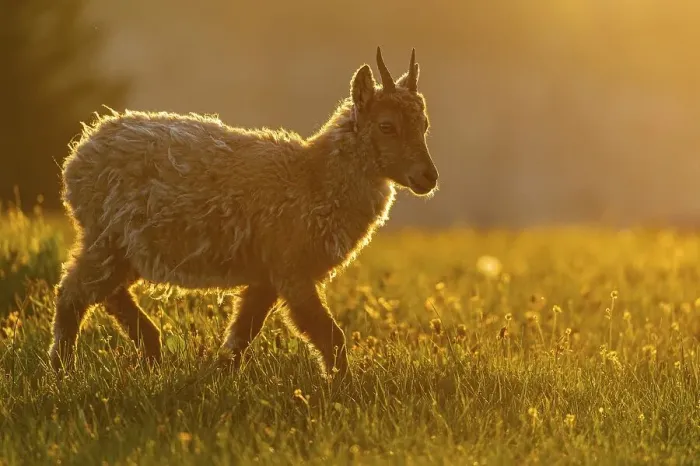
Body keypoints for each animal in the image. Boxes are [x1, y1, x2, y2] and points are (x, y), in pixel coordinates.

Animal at [49, 47, 439, 379]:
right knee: (73, 292)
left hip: (124, 250)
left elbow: (243, 331)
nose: (427, 177)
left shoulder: (266, 276)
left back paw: (151, 351)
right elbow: (330, 335)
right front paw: (343, 389)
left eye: (424, 125)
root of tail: (79, 156)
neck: (313, 178)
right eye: (387, 126)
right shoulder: (291, 270)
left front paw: (220, 375)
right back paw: (64, 371)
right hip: (107, 239)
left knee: (107, 292)